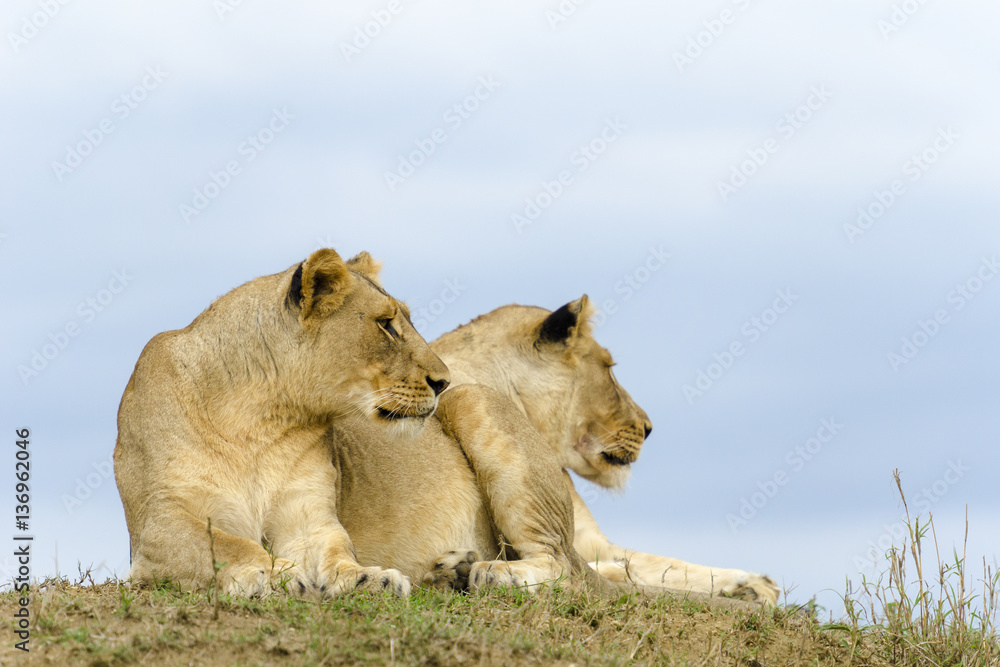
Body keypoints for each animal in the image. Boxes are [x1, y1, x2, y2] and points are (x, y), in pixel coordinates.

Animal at [112, 248, 450, 596]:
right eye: (385, 325)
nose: (444, 382)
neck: (257, 420)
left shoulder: (306, 514)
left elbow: (337, 548)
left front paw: (368, 578)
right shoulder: (158, 523)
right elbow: (225, 543)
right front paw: (273, 575)